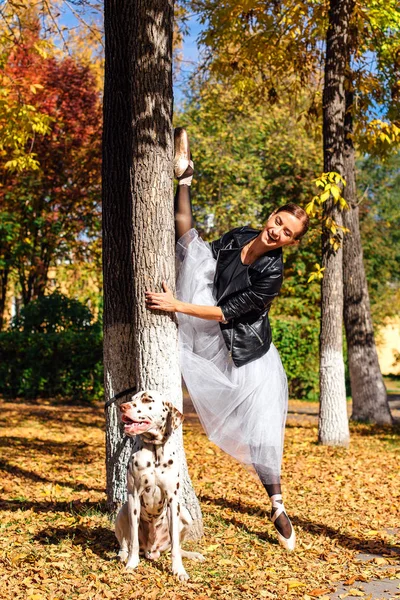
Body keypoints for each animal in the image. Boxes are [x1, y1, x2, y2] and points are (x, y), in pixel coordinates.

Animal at [115, 390, 203, 580]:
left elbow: (175, 545)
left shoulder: (172, 499)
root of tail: (152, 549)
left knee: (175, 547)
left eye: (147, 399)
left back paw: (192, 554)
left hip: (186, 514)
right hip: (123, 511)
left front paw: (179, 570)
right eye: (132, 399)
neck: (155, 452)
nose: (122, 407)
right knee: (124, 543)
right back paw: (123, 555)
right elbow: (133, 539)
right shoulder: (134, 496)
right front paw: (132, 563)